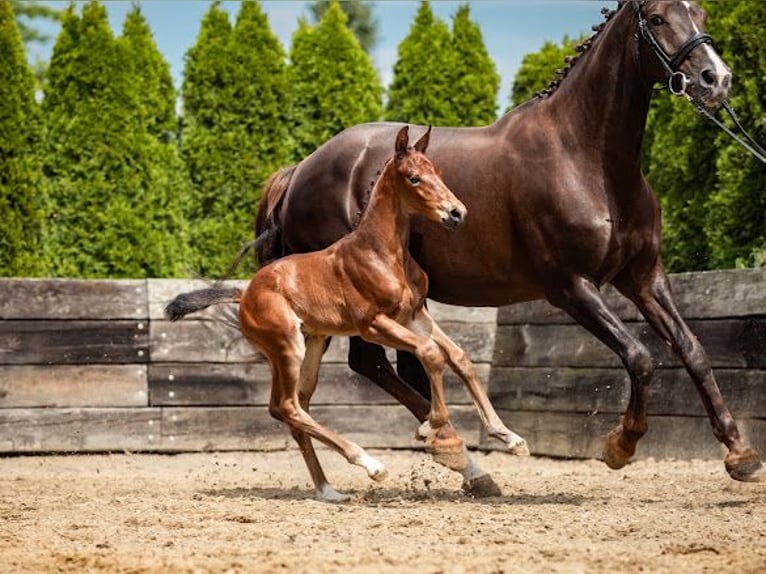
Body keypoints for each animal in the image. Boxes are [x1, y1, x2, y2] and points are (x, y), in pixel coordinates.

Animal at [167, 126, 529, 502]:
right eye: (413, 178)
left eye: (440, 173)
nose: (456, 213)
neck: (382, 252)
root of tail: (245, 293)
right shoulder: (373, 324)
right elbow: (431, 353)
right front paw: (428, 428)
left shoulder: (414, 315)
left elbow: (459, 357)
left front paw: (510, 438)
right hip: (288, 346)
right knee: (287, 406)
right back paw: (370, 465)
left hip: (312, 344)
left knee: (295, 404)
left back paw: (328, 490)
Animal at [254, 0, 764, 490]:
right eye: (657, 19)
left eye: (700, 12)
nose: (716, 79)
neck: (585, 158)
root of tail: (298, 171)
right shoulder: (571, 287)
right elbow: (639, 357)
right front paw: (621, 445)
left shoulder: (642, 276)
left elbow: (692, 349)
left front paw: (740, 455)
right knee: (371, 363)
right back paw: (458, 455)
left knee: (397, 366)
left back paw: (462, 459)